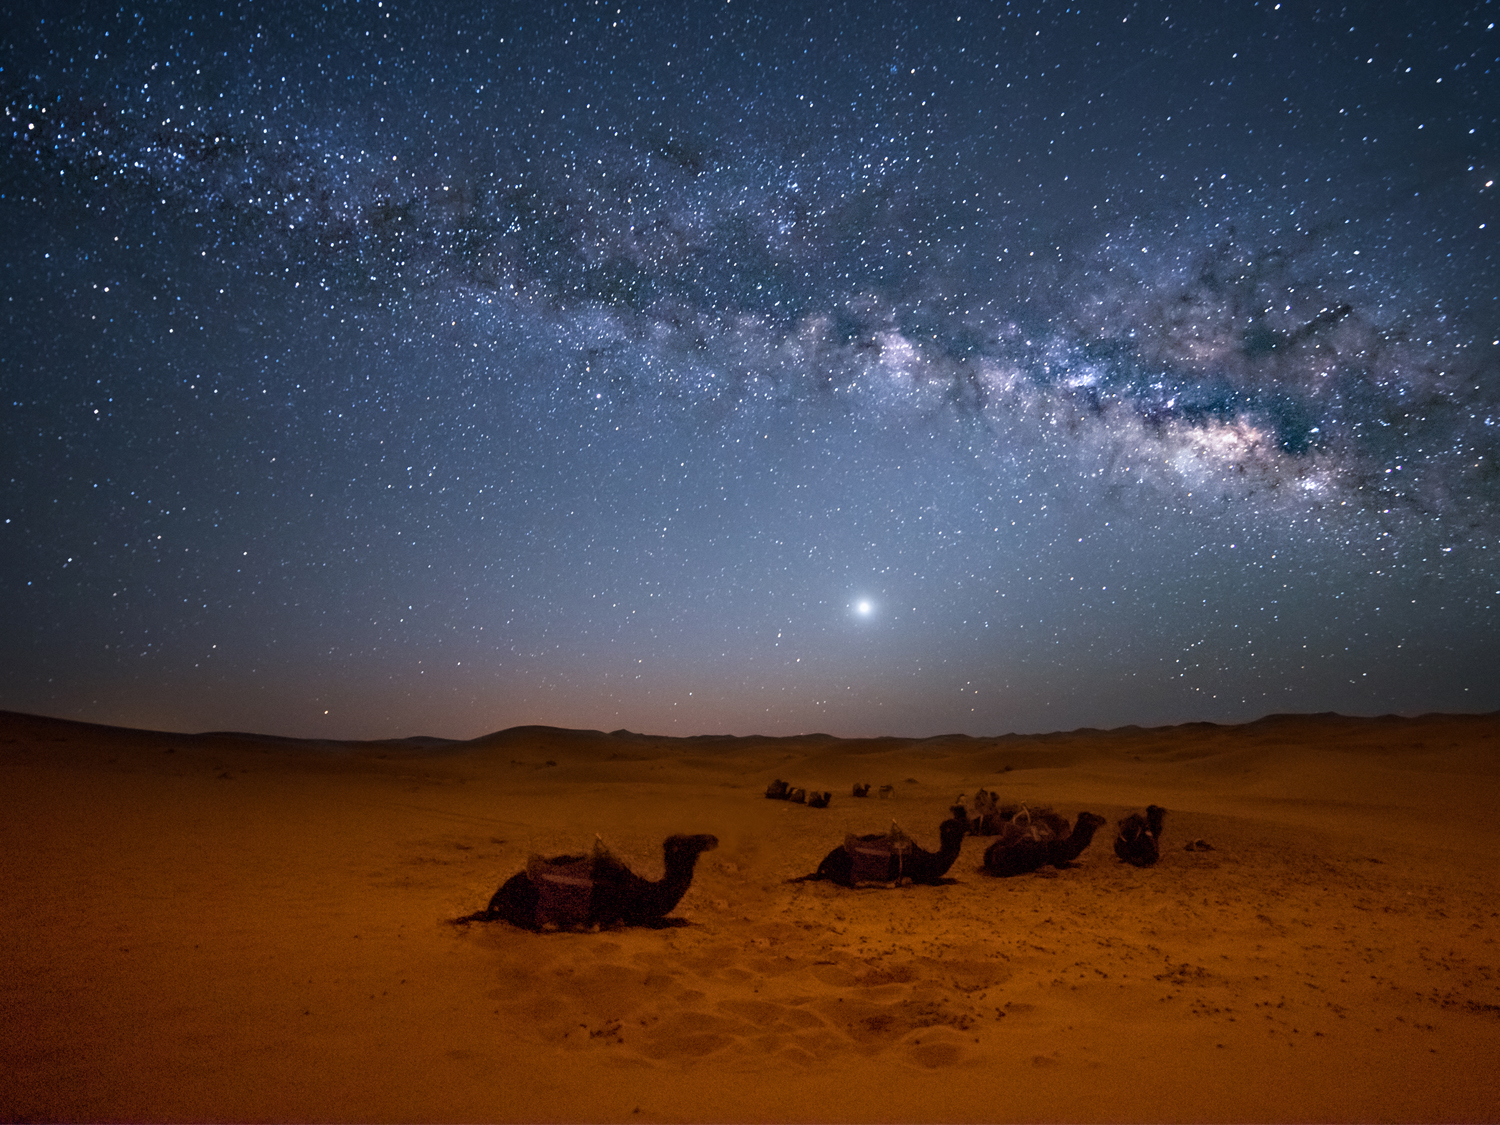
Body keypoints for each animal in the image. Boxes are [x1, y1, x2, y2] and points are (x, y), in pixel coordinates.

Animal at [786, 822, 972, 888]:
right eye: (956, 826)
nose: (969, 827)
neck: (930, 860)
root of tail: (825, 862)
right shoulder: (923, 877)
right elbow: (945, 881)